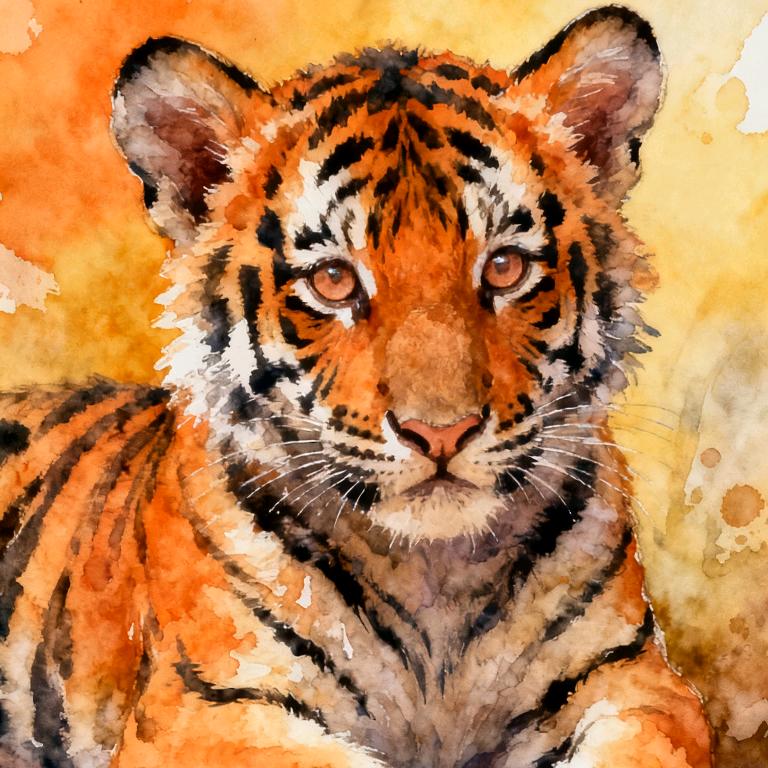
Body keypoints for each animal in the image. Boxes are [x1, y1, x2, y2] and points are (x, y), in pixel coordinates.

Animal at [0, 5, 712, 767]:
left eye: (505, 268)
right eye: (334, 280)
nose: (442, 432)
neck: (436, 579)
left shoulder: (639, 678)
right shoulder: (204, 707)